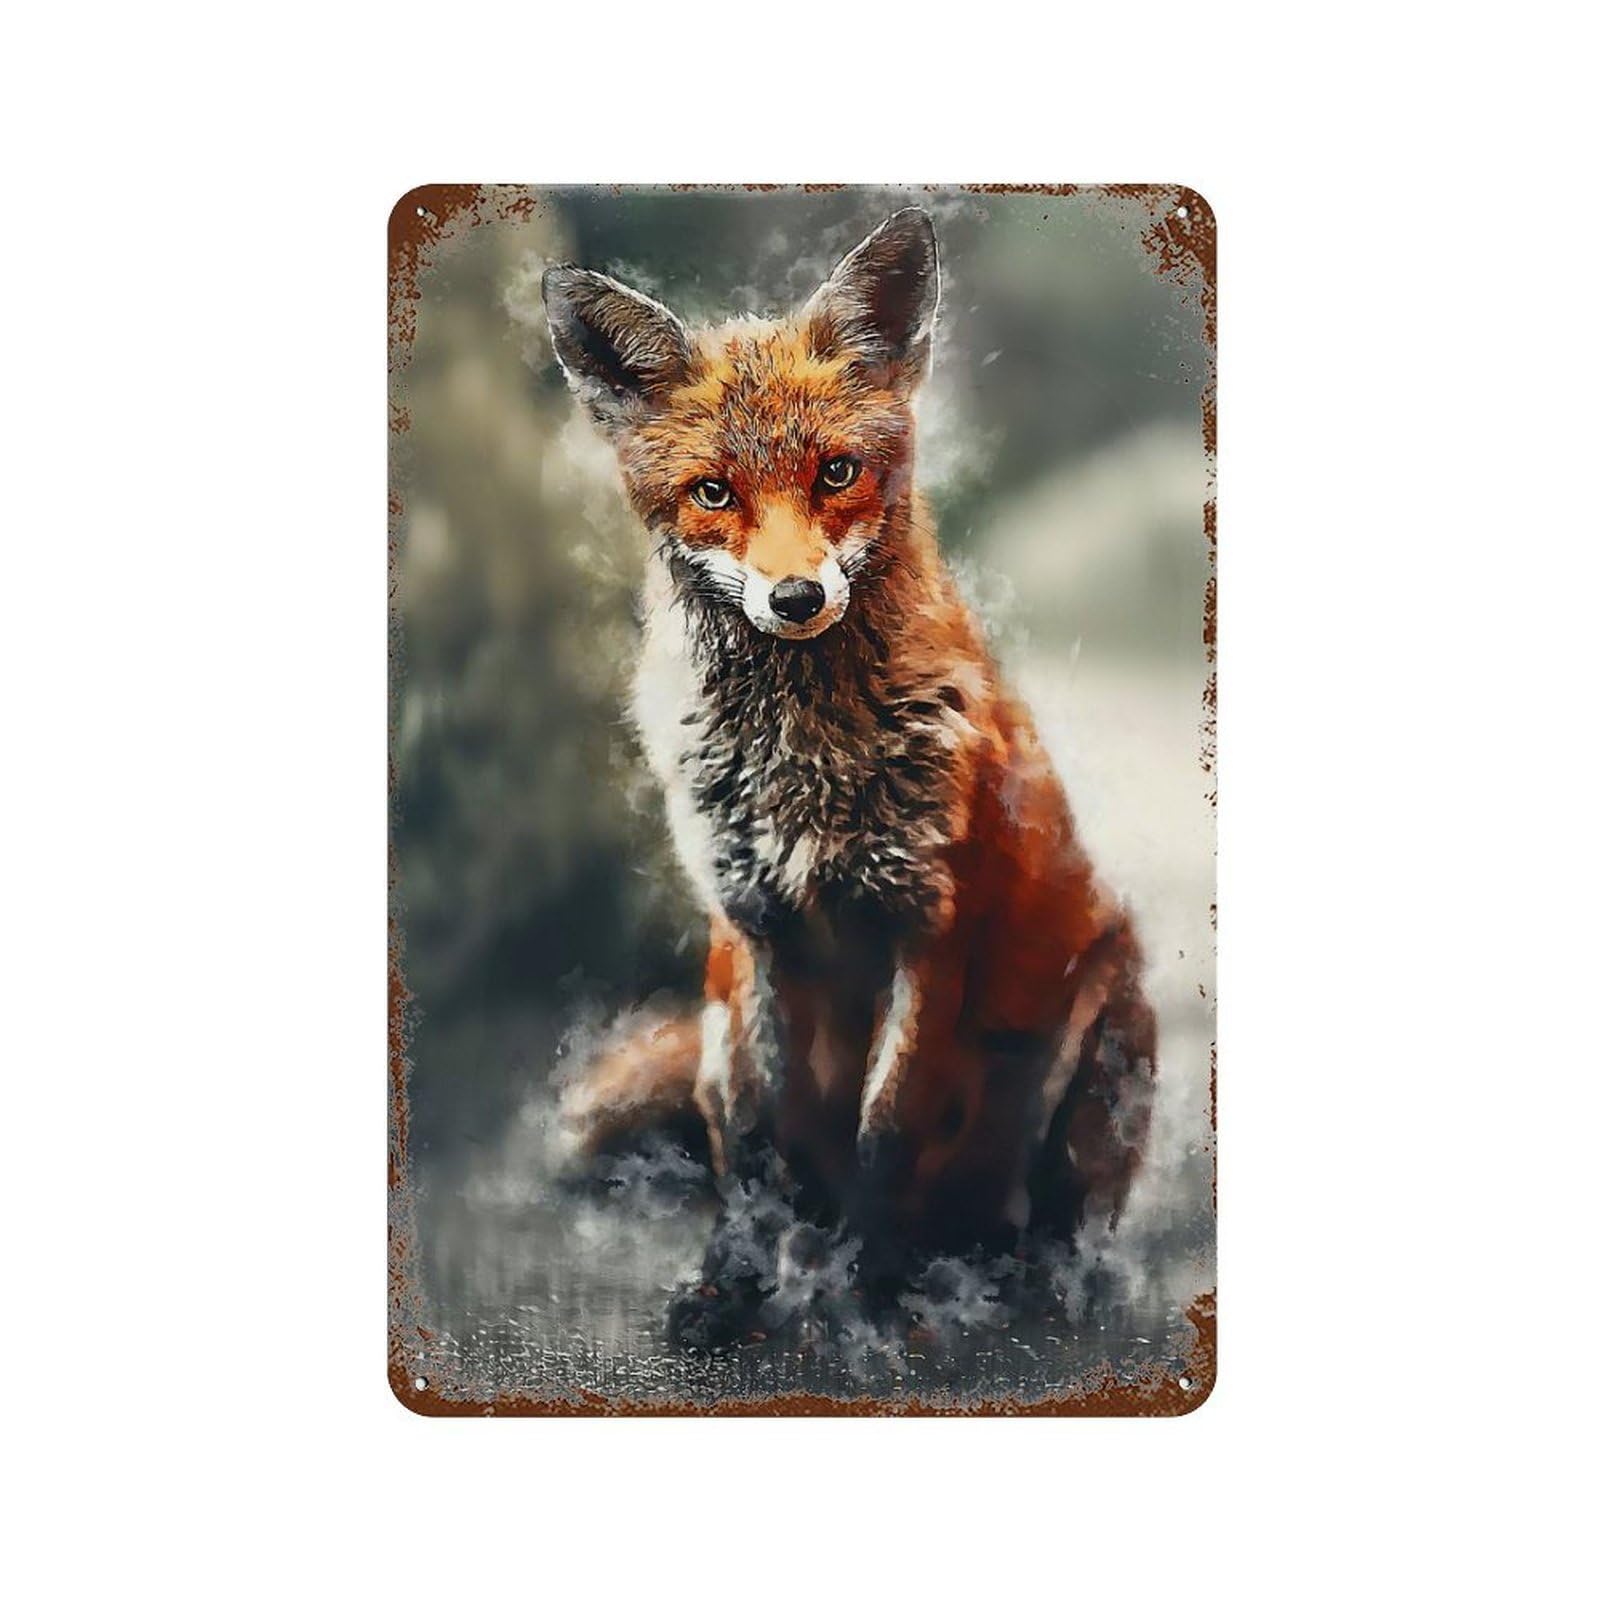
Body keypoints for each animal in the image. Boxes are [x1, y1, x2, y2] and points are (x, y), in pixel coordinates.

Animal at [542, 209, 1157, 1349]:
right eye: (712, 492)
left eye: (835, 472)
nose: (793, 598)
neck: (804, 768)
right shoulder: (748, 930)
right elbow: (753, 1148)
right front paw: (730, 1287)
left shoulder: (929, 926)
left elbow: (889, 1132)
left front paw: (866, 1308)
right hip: (709, 1026)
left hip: (1109, 1029)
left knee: (1052, 1215)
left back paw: (1018, 1279)